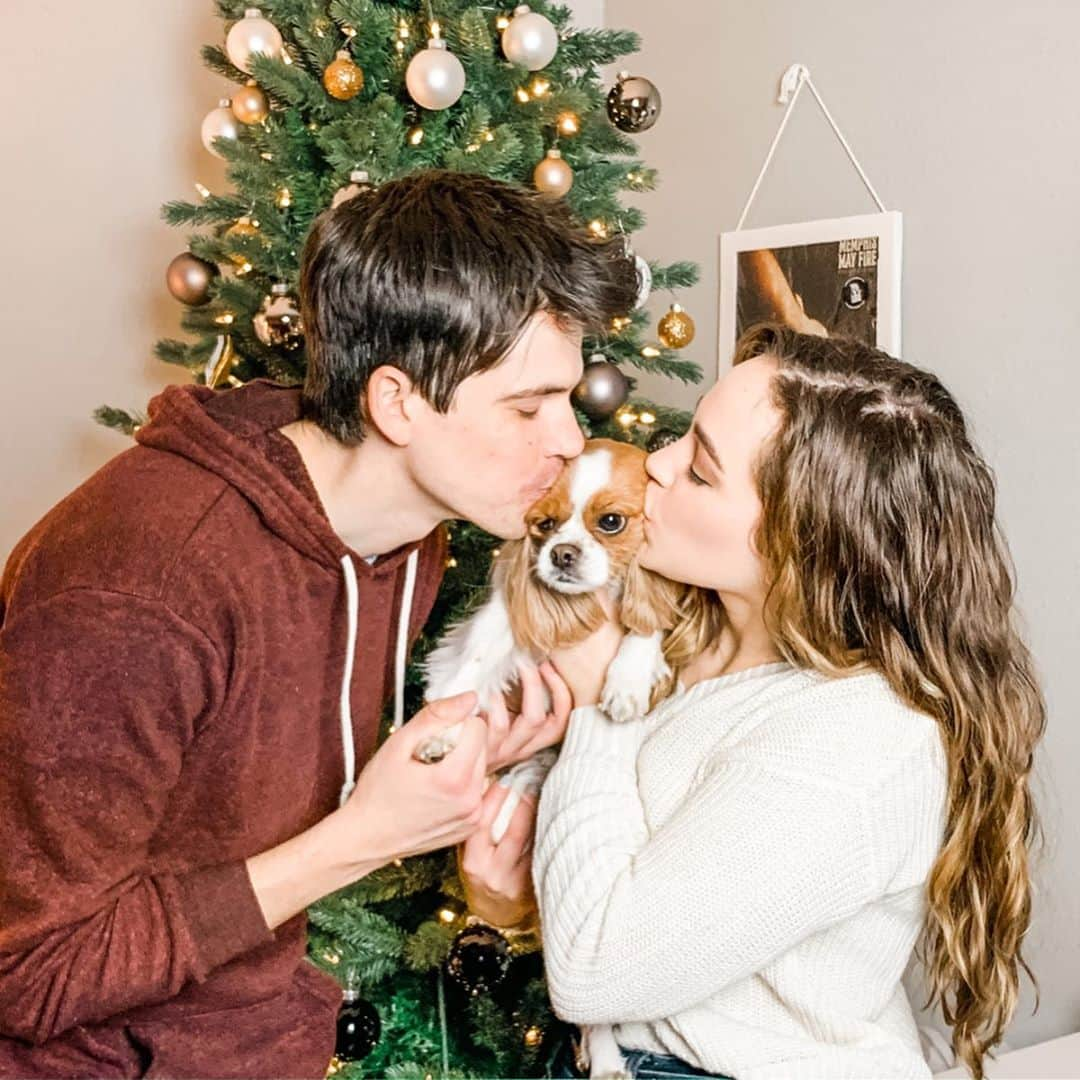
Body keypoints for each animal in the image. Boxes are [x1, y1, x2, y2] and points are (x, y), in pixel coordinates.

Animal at [416, 438, 704, 1080]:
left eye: (611, 522)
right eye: (543, 526)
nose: (561, 555)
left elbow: (643, 630)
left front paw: (626, 681)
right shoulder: (500, 621)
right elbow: (469, 676)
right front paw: (443, 731)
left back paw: (607, 1058)